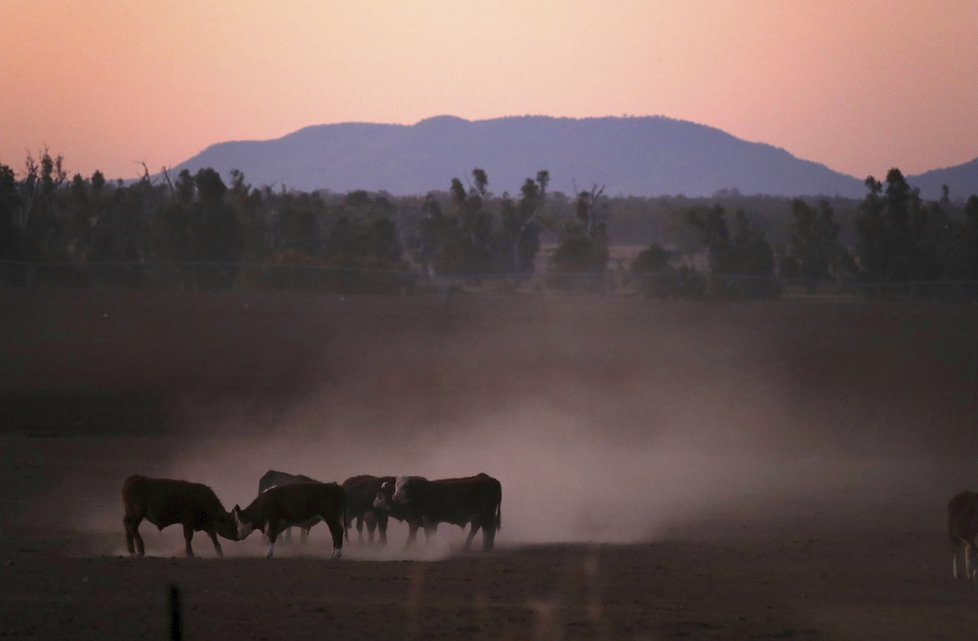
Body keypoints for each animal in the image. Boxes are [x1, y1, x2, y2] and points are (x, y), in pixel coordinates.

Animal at [370, 470, 500, 552]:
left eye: (405, 486)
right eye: (396, 486)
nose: (395, 497)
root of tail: (488, 478)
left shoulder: (428, 519)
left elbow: (422, 534)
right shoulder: (419, 521)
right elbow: (418, 534)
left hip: (487, 513)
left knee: (490, 527)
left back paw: (487, 547)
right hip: (480, 515)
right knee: (479, 527)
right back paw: (474, 546)